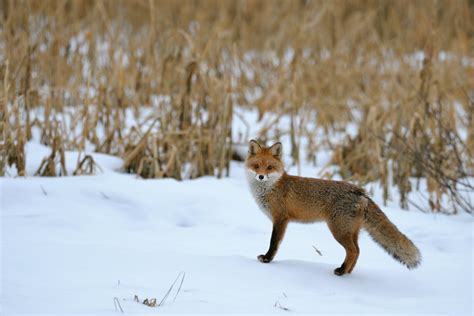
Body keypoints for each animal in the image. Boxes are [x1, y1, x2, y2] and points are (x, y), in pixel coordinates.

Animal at [246, 139, 420, 276]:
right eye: (256, 166)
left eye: (269, 167)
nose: (261, 176)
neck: (271, 188)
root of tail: (360, 192)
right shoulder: (281, 219)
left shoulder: (280, 218)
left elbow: (274, 242)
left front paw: (267, 259)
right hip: (350, 231)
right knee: (358, 251)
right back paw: (348, 272)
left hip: (339, 231)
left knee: (353, 251)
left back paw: (341, 271)